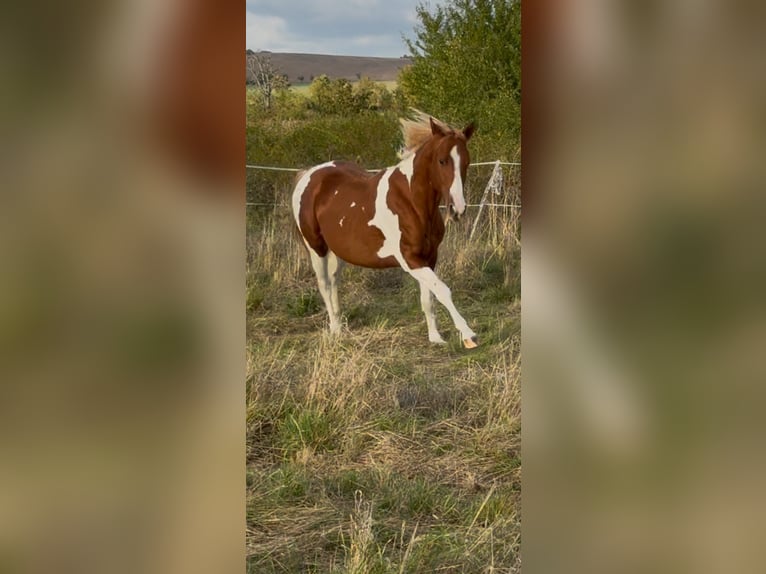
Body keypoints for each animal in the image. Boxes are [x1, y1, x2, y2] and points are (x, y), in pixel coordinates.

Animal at [291, 112, 479, 348]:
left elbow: (429, 298)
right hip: (316, 248)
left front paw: (435, 337)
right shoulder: (409, 259)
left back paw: (341, 326)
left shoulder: (429, 257)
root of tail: (309, 174)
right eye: (442, 160)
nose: (458, 209)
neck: (411, 202)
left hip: (338, 251)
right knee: (324, 284)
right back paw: (335, 330)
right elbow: (443, 290)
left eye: (467, 162)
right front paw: (468, 335)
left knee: (333, 282)